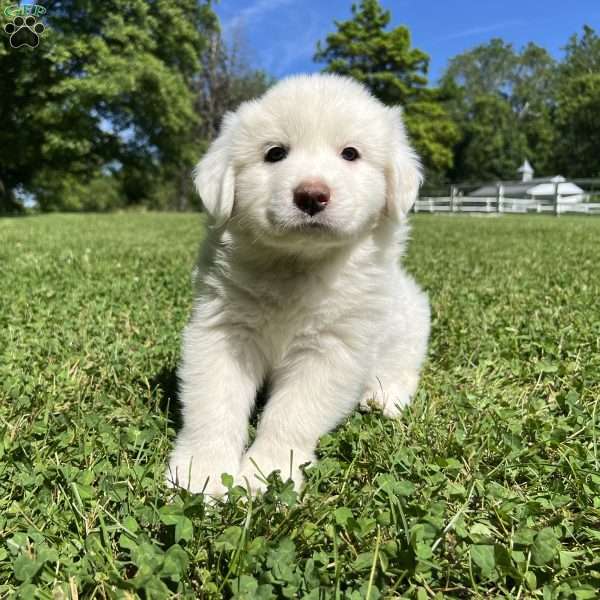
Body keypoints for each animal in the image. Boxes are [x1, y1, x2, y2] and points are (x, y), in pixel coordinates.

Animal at [168, 74, 432, 496]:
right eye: (275, 153)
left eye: (350, 154)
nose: (311, 195)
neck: (297, 265)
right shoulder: (224, 332)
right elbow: (214, 405)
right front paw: (202, 472)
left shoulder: (330, 350)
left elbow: (290, 416)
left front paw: (265, 474)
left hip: (410, 321)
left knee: (403, 365)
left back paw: (385, 396)